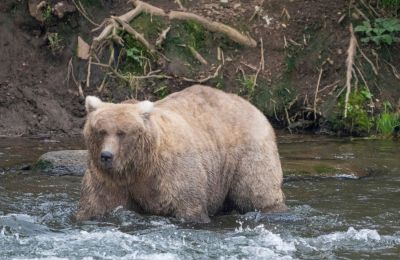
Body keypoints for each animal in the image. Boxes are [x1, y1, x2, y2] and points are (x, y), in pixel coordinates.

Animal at [76, 84, 288, 222]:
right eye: (101, 131)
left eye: (122, 133)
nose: (106, 156)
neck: (139, 166)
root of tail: (254, 107)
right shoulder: (108, 179)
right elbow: (96, 204)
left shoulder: (172, 172)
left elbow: (188, 205)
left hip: (247, 153)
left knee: (256, 191)